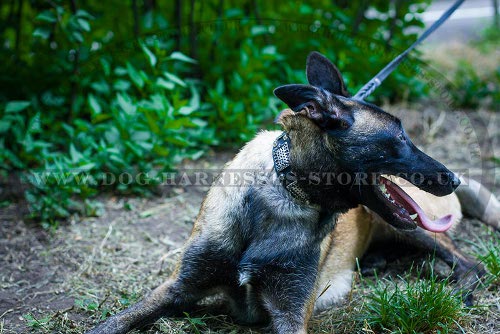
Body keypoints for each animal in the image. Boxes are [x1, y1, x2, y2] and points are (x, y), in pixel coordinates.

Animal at [88, 52, 498, 334]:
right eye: (399, 139)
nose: (452, 178)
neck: (285, 193)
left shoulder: (290, 314)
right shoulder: (177, 287)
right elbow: (115, 321)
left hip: (411, 228)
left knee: (472, 265)